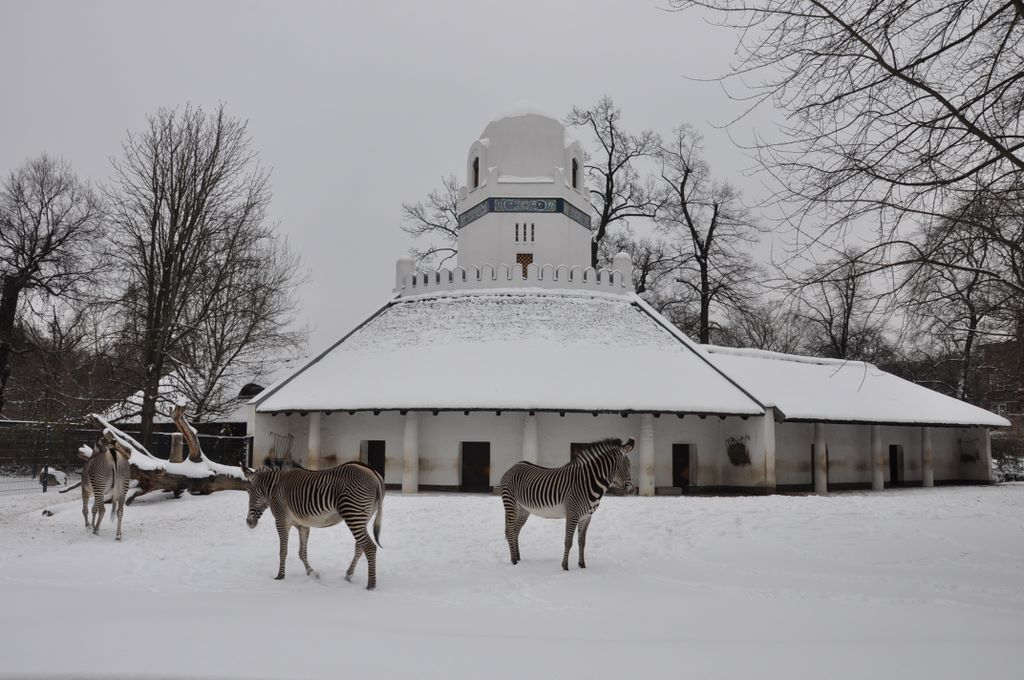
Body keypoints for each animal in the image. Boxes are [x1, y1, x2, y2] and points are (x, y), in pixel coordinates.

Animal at [242, 461, 385, 589]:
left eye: (248, 491)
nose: (249, 522)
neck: (275, 487)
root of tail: (373, 473)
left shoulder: (281, 520)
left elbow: (283, 550)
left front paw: (280, 576)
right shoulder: (302, 524)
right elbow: (302, 552)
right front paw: (312, 573)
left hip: (353, 513)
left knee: (369, 547)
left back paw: (371, 585)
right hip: (364, 517)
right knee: (360, 546)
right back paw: (349, 575)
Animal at [500, 437, 635, 571]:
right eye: (627, 465)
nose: (632, 490)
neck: (587, 483)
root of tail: (513, 466)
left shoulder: (586, 517)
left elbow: (582, 542)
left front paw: (582, 565)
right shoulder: (572, 514)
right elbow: (568, 541)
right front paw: (565, 566)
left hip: (523, 509)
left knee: (516, 530)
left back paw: (518, 558)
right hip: (511, 504)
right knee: (510, 530)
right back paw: (513, 560)